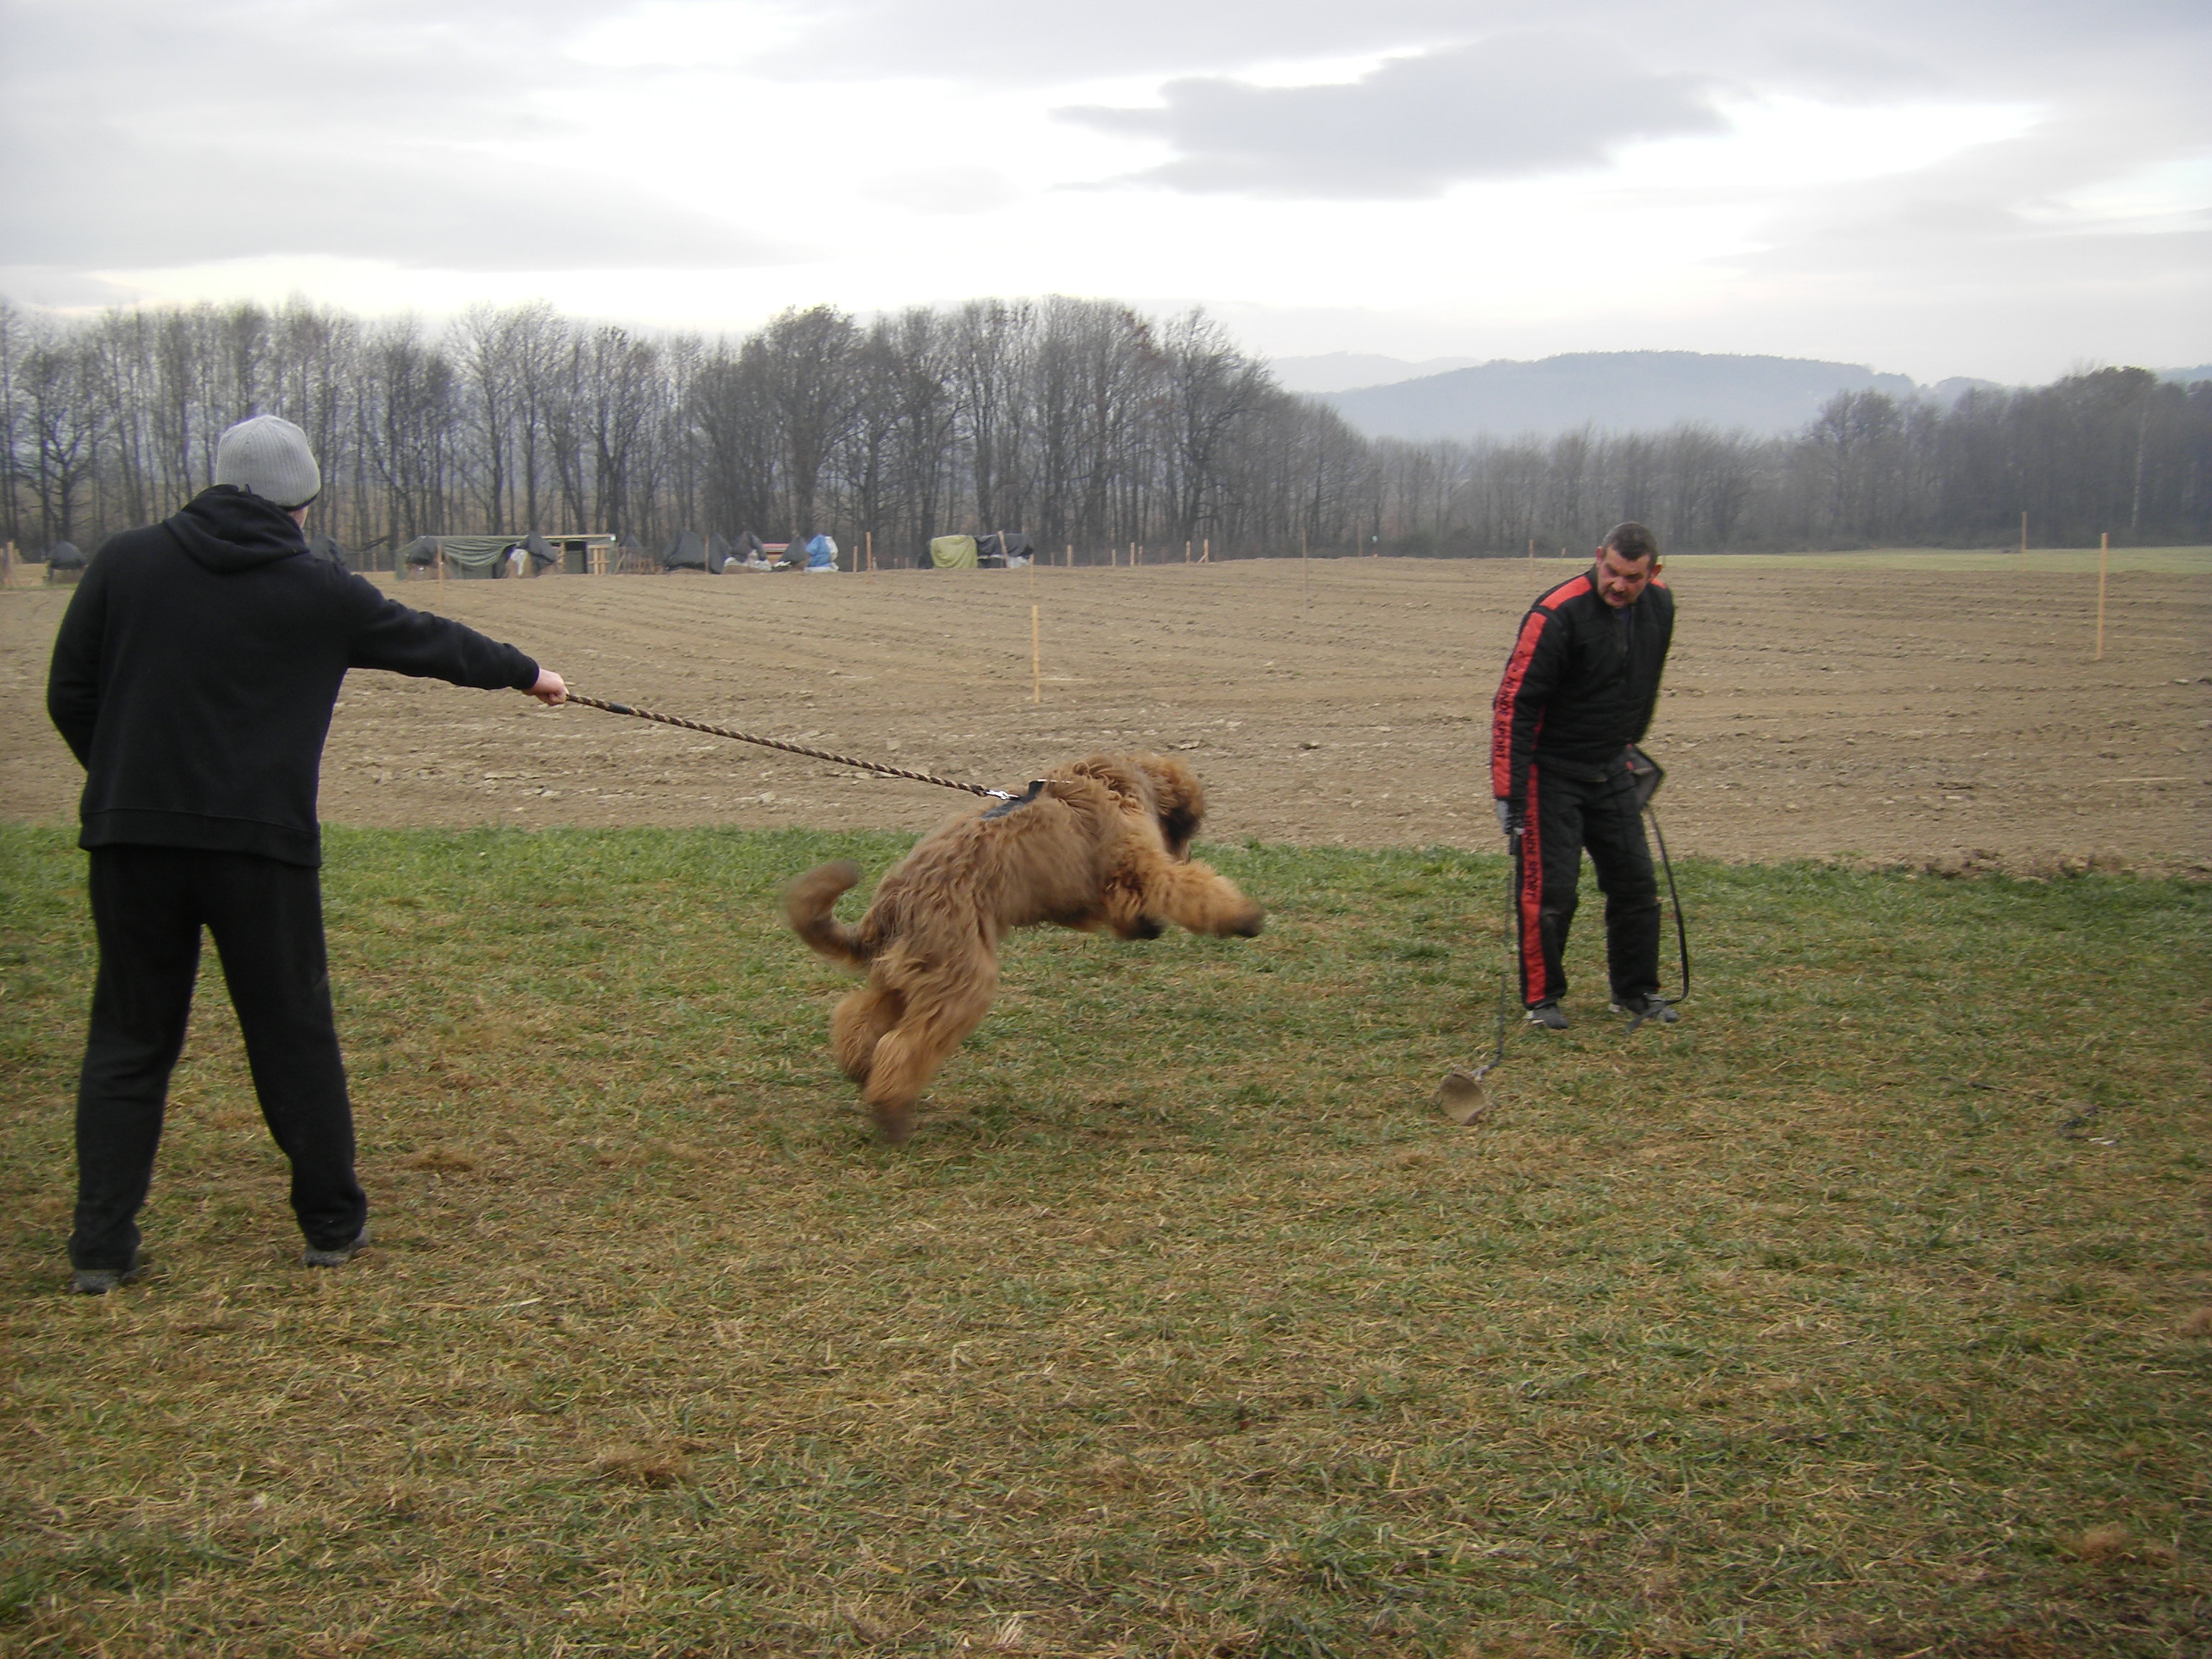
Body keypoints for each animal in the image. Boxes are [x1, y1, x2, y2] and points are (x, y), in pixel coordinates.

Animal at [783, 752, 1265, 1141]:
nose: (1185, 853)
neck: (1113, 781)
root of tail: (891, 904)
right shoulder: (1140, 864)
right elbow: (1190, 889)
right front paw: (1244, 916)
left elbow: (1126, 905)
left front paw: (1147, 926)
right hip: (961, 976)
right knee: (904, 1045)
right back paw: (891, 1111)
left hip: (907, 975)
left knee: (859, 1018)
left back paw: (861, 1069)